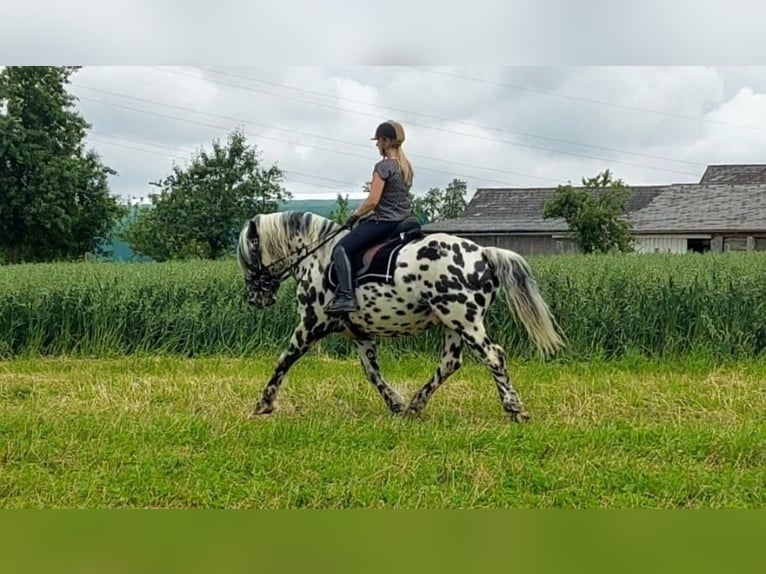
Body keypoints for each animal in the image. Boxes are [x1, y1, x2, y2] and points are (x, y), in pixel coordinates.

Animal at [237, 212, 568, 424]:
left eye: (247, 257)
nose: (254, 298)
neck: (317, 256)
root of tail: (485, 253)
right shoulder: (361, 334)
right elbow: (372, 372)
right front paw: (395, 403)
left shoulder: (310, 324)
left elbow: (284, 360)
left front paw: (263, 404)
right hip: (453, 324)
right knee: (450, 363)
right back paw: (414, 406)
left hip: (465, 320)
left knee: (493, 356)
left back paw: (515, 408)